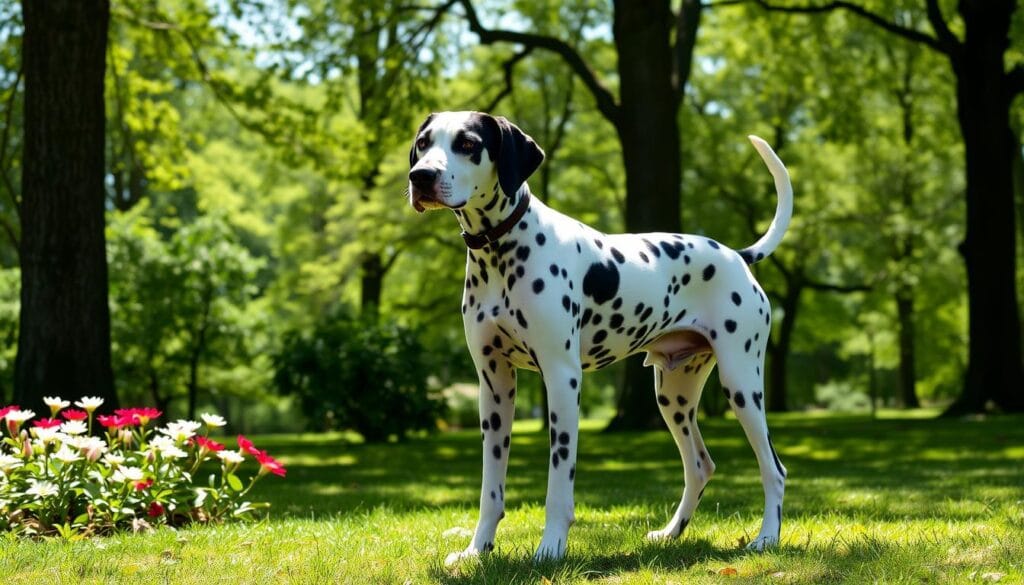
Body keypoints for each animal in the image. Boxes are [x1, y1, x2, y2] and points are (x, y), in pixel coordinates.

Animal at [407, 112, 790, 565]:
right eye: (423, 142)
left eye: (467, 144)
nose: (420, 176)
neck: (502, 250)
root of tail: (736, 255)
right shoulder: (494, 387)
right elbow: (491, 489)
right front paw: (477, 549)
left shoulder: (562, 379)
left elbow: (558, 483)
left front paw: (551, 548)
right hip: (673, 396)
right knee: (700, 466)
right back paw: (670, 533)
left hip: (741, 386)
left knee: (774, 470)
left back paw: (766, 539)